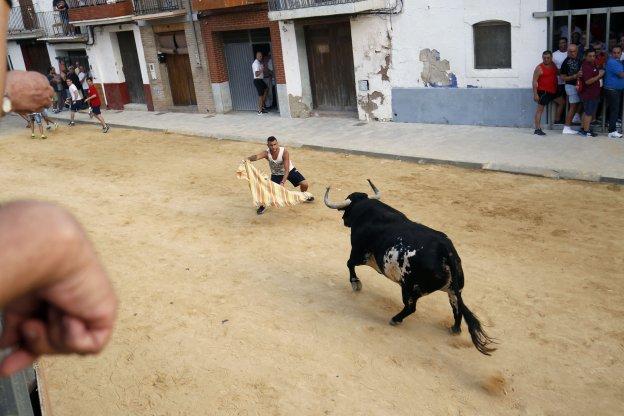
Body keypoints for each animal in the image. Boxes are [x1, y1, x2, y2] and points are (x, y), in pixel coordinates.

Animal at [324, 179, 494, 354]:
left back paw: (395, 319)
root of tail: (446, 250)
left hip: (409, 288)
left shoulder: (358, 253)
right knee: (456, 308)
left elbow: (349, 264)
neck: (365, 210)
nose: (344, 219)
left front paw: (356, 284)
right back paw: (454, 329)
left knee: (411, 308)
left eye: (347, 208)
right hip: (454, 290)